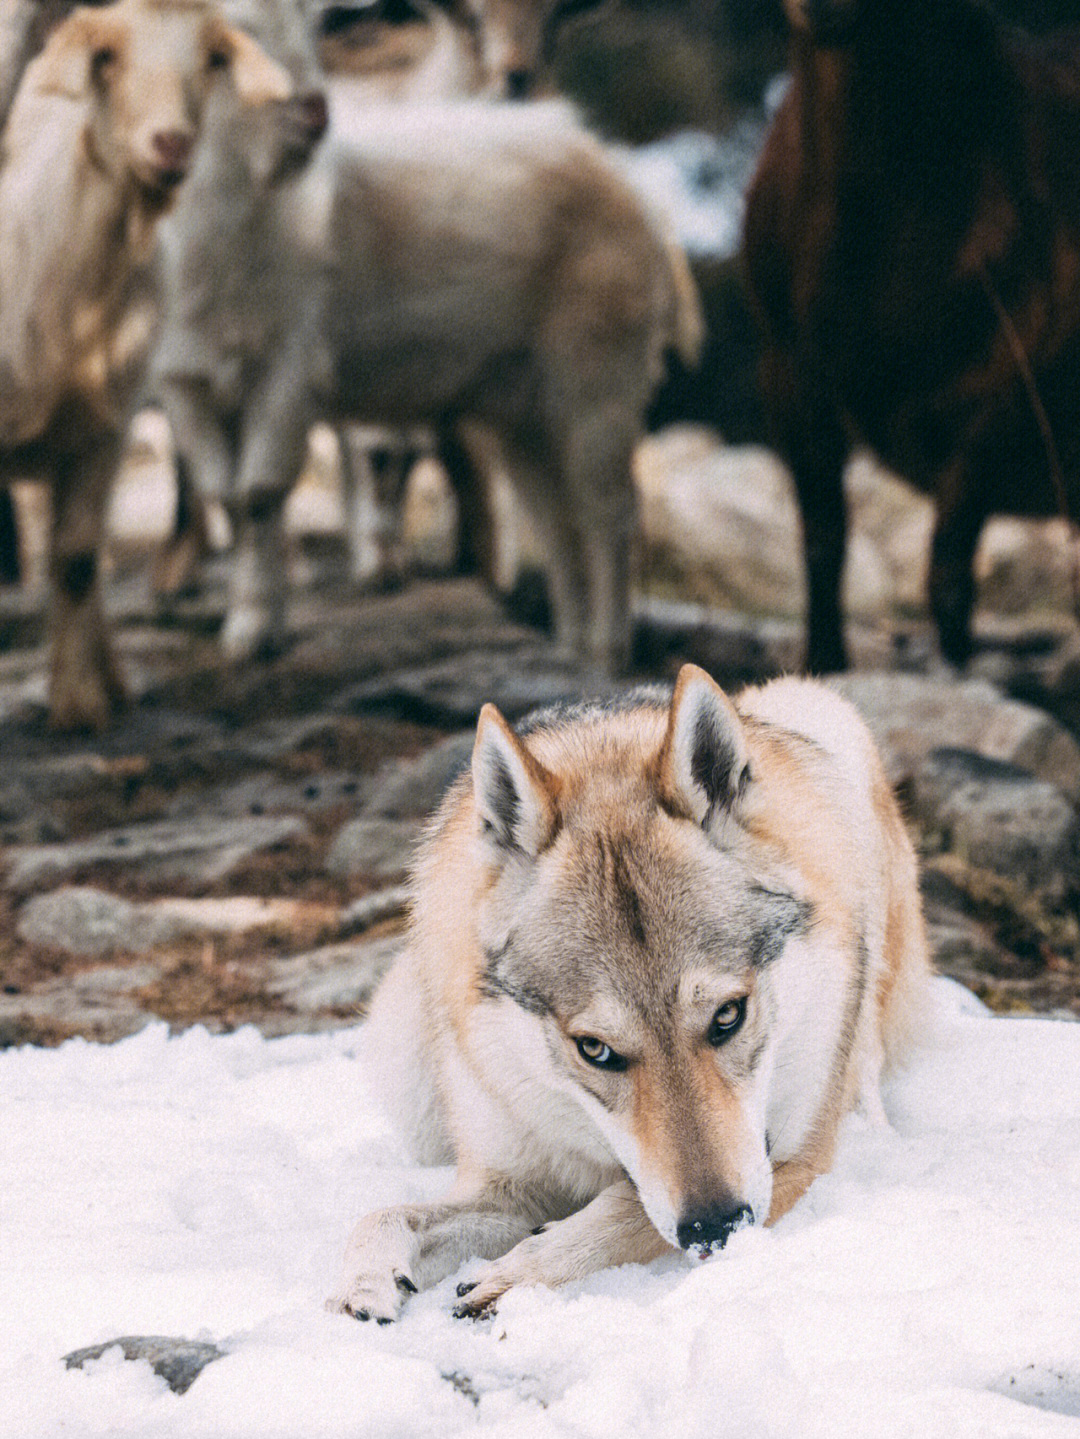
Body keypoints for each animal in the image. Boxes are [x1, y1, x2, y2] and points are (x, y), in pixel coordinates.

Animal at [742, 0, 1080, 670]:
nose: (823, 7)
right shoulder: (788, 368)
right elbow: (823, 542)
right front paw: (825, 666)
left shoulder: (1001, 393)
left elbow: (947, 578)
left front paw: (955, 673)